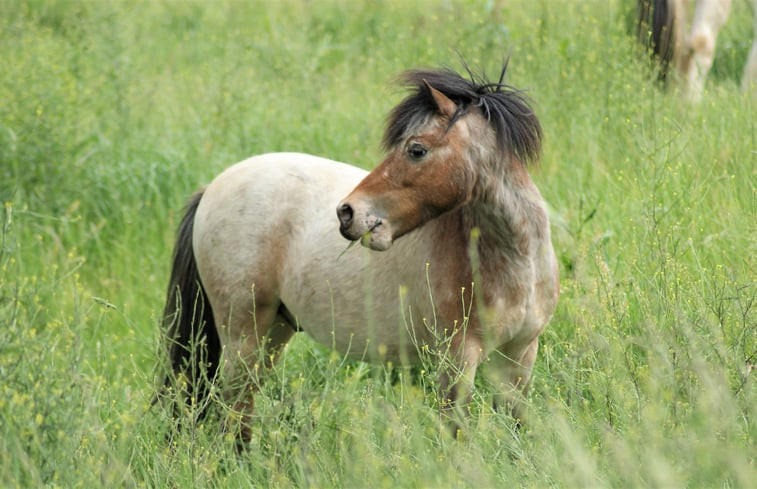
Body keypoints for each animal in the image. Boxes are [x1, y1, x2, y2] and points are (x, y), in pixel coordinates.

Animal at [159, 62, 560, 442]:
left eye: (416, 150)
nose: (347, 213)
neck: (514, 264)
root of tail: (212, 188)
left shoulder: (519, 358)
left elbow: (516, 426)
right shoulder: (457, 360)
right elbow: (456, 433)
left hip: (272, 333)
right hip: (243, 337)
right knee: (233, 414)